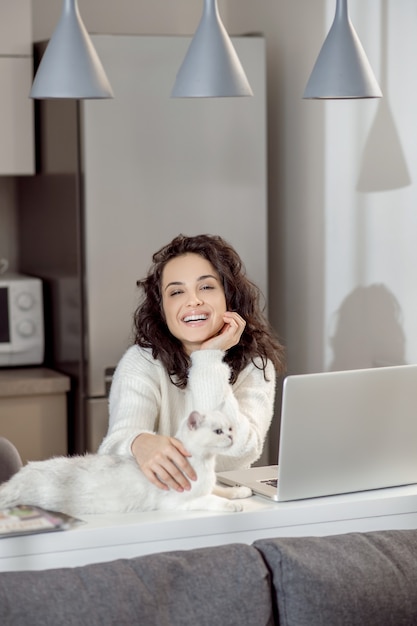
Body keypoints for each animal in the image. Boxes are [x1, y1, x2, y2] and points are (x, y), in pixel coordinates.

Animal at [0, 408, 250, 516]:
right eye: (218, 432)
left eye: (230, 428)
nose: (232, 437)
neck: (206, 464)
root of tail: (16, 479)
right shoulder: (180, 501)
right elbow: (213, 499)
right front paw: (234, 505)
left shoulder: (209, 485)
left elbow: (222, 489)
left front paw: (241, 492)